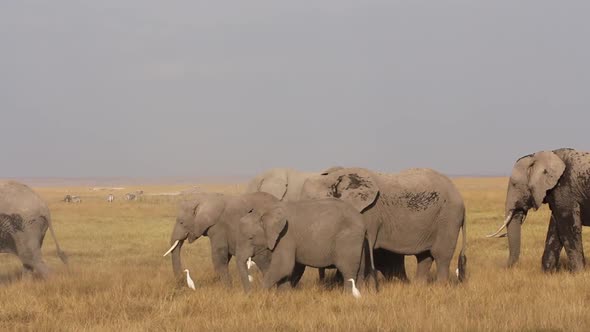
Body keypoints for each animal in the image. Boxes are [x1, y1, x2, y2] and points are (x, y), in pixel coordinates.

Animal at [240, 197, 380, 296]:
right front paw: (283, 296)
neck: (267, 210)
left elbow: (284, 266)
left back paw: (348, 297)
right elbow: (289, 269)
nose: (249, 294)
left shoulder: (286, 236)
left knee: (348, 270)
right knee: (360, 271)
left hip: (348, 239)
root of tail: (364, 222)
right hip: (359, 241)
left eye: (250, 238)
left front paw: (260, 294)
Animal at [302, 167, 470, 282]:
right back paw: (418, 286)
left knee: (441, 256)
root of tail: (459, 196)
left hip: (448, 218)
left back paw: (441, 286)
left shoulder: (369, 213)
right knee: (424, 257)